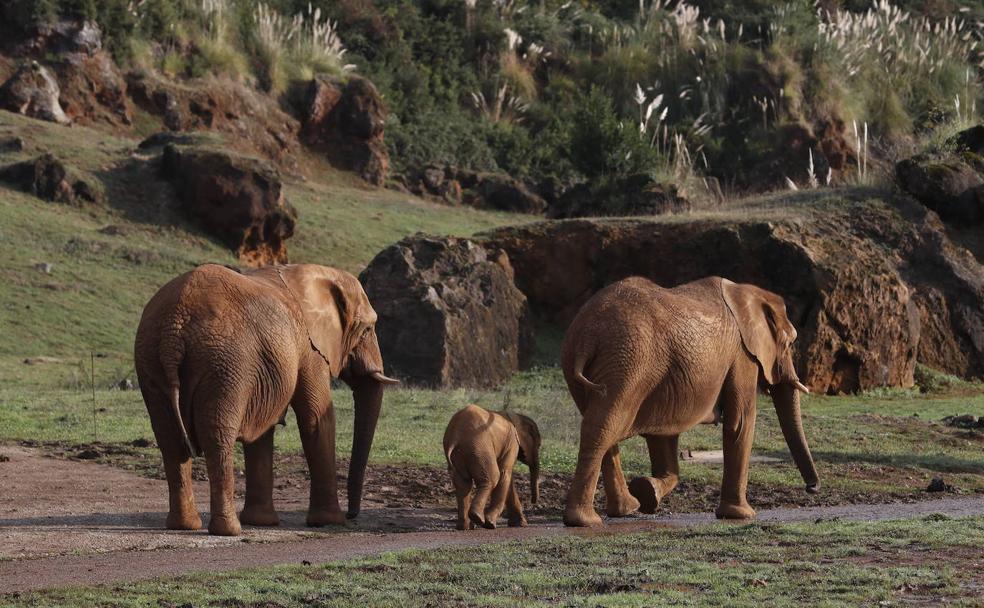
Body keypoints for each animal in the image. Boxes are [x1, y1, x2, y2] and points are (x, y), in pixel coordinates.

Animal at [136, 264, 398, 536]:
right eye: (367, 329)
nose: (351, 514)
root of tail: (174, 330)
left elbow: (263, 428)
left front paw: (261, 521)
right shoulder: (309, 348)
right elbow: (316, 419)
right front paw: (329, 522)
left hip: (151, 360)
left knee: (169, 439)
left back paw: (185, 525)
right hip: (225, 364)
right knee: (217, 437)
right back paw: (229, 530)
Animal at [556, 276, 820, 528]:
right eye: (789, 342)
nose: (813, 488)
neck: (746, 292)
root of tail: (588, 336)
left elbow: (662, 436)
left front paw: (648, 491)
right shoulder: (742, 355)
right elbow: (741, 422)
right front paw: (742, 516)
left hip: (595, 362)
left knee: (602, 425)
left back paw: (625, 509)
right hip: (629, 362)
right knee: (604, 426)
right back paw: (585, 521)